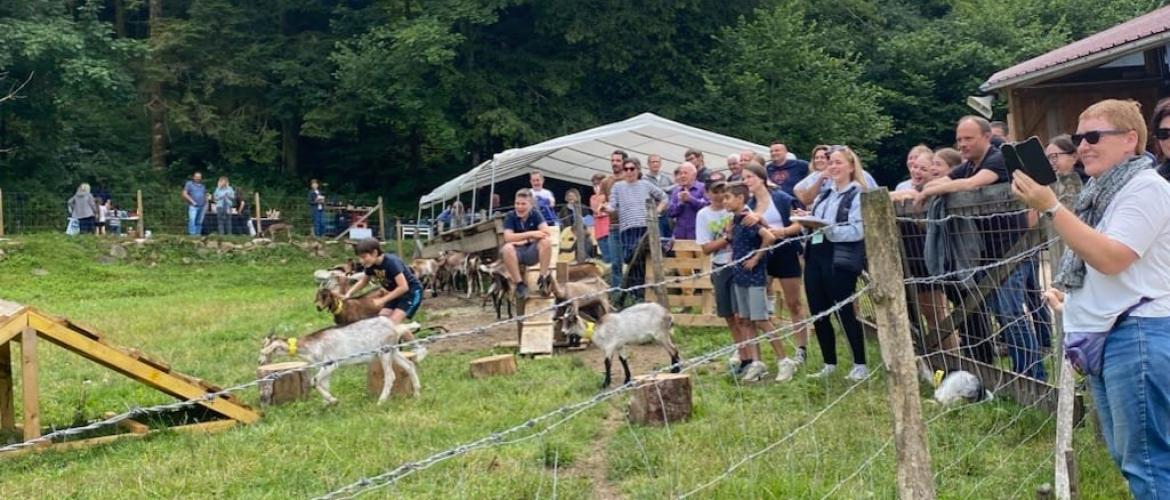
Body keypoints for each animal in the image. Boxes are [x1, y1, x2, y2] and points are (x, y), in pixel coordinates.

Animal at [257, 316, 425, 407]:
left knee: (390, 376)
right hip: (393, 351)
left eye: (264, 347)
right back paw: (417, 394)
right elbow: (323, 383)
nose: (260, 361)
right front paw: (327, 404)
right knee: (409, 365)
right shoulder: (326, 368)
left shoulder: (330, 363)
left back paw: (381, 401)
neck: (311, 345)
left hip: (384, 351)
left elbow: (314, 381)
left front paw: (333, 400)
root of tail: (395, 327)